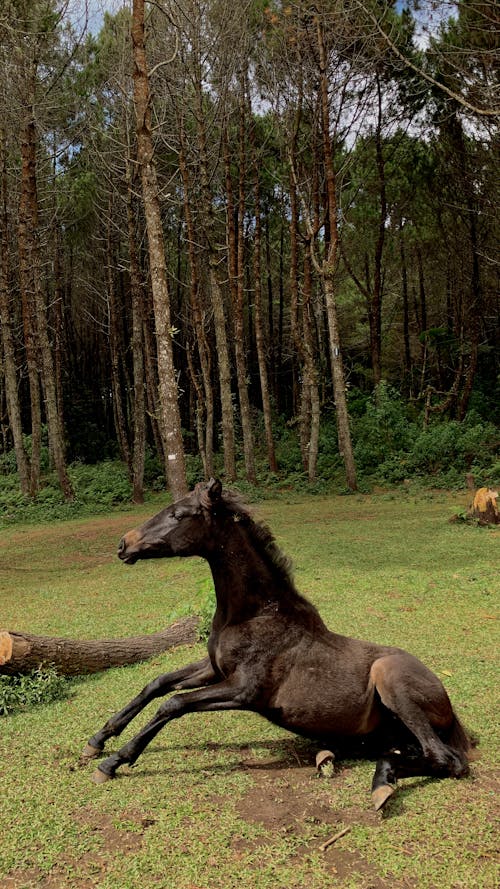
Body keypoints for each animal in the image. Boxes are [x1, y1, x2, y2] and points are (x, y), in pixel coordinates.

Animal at [81, 482, 472, 808]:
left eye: (179, 514)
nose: (124, 545)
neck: (252, 614)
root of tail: (448, 707)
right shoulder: (214, 669)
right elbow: (157, 684)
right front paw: (97, 740)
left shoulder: (244, 690)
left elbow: (173, 704)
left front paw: (114, 761)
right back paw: (358, 768)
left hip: (390, 679)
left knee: (448, 761)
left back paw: (381, 785)